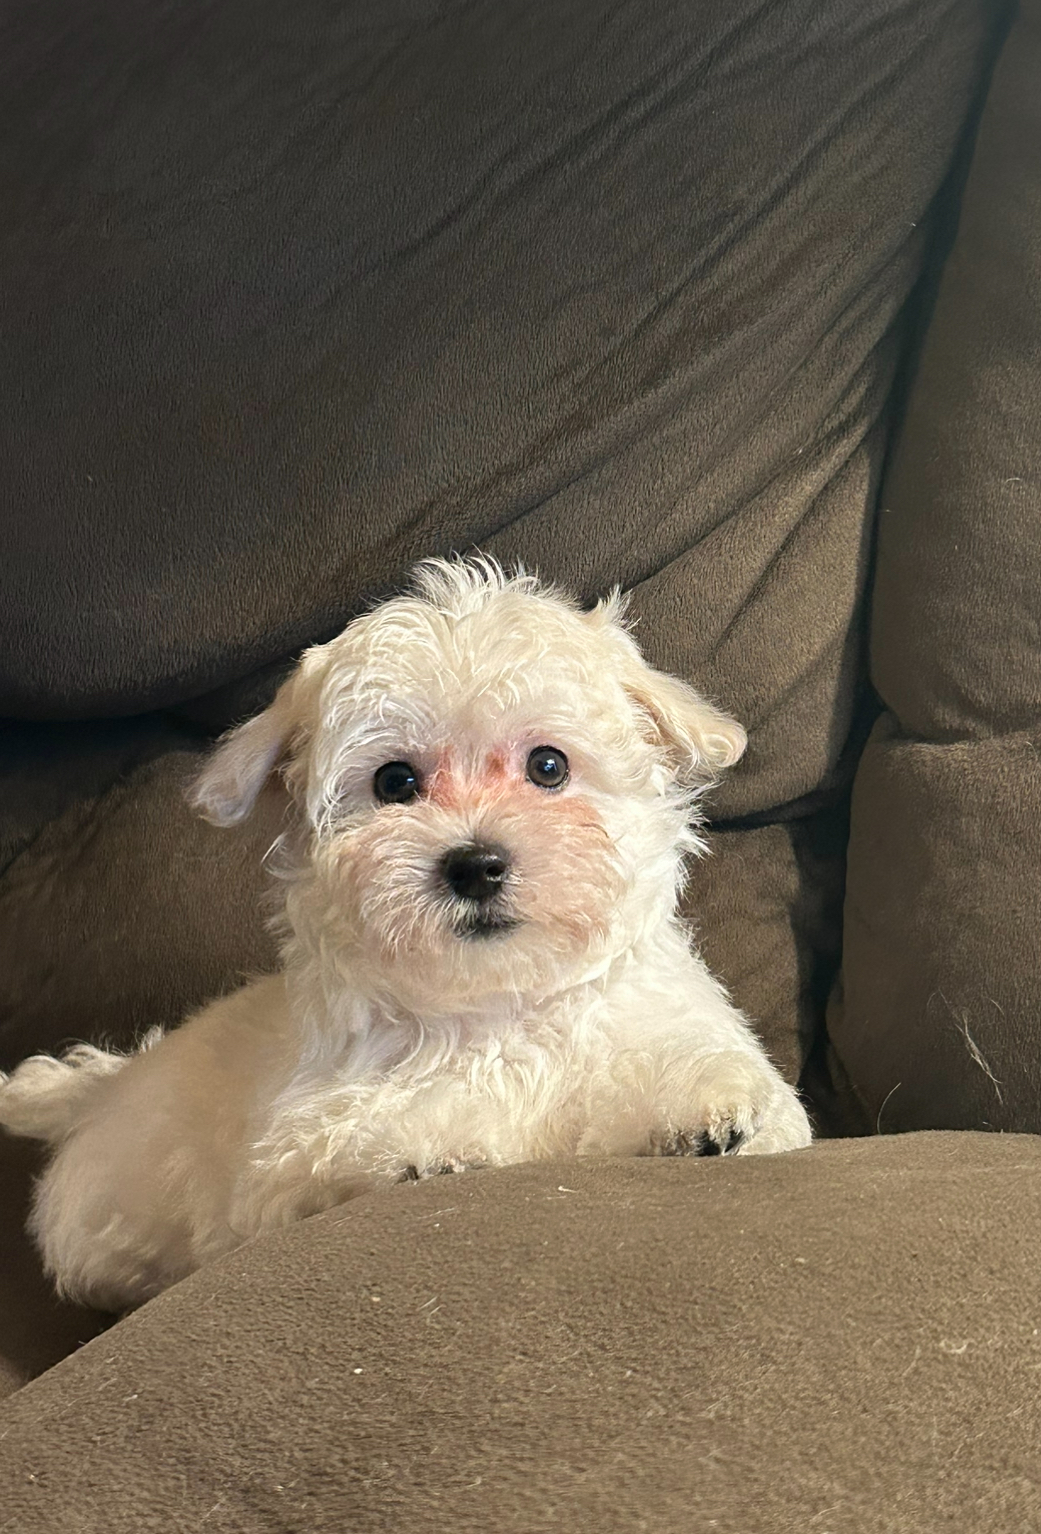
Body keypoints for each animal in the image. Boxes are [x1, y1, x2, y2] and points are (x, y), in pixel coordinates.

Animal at [0, 561, 809, 1306]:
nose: (476, 865)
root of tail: (100, 1090)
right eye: (395, 783)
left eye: (548, 766)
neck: (498, 1006)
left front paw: (698, 1109)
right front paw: (430, 1148)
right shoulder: (283, 1163)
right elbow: (352, 1145)